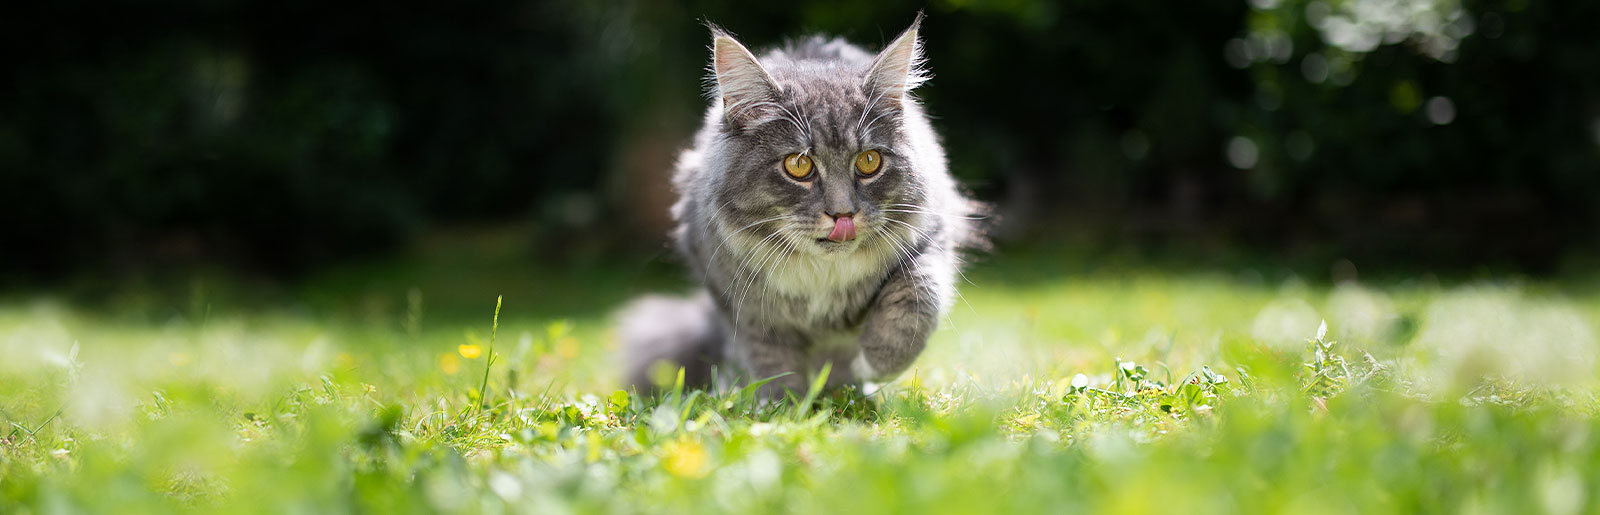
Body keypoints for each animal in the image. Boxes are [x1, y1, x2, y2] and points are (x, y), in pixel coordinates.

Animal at [620, 14, 972, 396]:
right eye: (798, 165)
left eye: (869, 161)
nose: (843, 214)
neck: (822, 274)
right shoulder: (741, 304)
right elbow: (770, 361)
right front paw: (783, 403)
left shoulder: (931, 238)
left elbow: (918, 299)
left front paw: (872, 366)